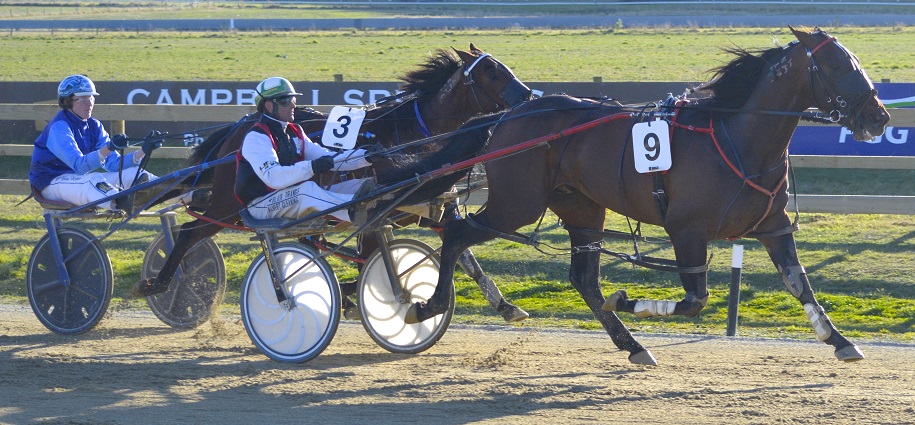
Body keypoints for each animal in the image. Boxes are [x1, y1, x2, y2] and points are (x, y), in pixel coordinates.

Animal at [139, 44, 532, 320]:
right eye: (493, 74)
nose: (528, 95)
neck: (412, 133)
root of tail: (238, 127)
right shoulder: (377, 214)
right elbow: (373, 258)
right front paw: (361, 297)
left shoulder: (427, 208)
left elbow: (465, 254)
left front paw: (505, 306)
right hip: (228, 204)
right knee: (190, 232)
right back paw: (161, 282)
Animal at [410, 27, 896, 364]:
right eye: (837, 65)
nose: (879, 115)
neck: (739, 139)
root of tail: (508, 114)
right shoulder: (686, 229)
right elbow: (695, 300)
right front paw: (630, 300)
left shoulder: (773, 227)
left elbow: (800, 284)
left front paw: (840, 341)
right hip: (517, 205)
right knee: (455, 235)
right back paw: (428, 306)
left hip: (582, 207)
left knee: (583, 279)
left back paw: (633, 346)